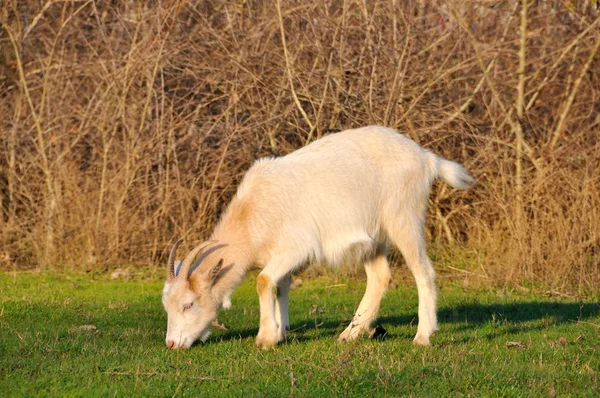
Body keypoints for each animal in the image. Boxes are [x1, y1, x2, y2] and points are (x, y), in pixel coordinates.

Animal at [163, 126, 474, 350]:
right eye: (167, 305)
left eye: (188, 304)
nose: (171, 344)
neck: (252, 215)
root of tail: (427, 159)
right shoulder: (280, 255)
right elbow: (281, 286)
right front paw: (282, 331)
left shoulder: (297, 247)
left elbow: (263, 281)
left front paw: (265, 338)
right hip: (373, 237)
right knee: (379, 277)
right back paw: (350, 333)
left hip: (404, 218)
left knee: (424, 272)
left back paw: (422, 336)